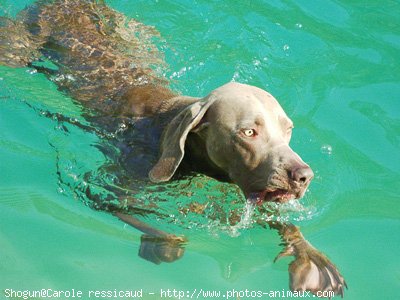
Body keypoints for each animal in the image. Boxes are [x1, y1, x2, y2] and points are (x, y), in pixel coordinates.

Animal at [0, 0, 346, 296]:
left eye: (288, 129)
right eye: (249, 131)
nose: (303, 175)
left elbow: (285, 223)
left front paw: (313, 261)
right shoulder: (100, 189)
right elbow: (161, 230)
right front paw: (167, 243)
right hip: (21, 44)